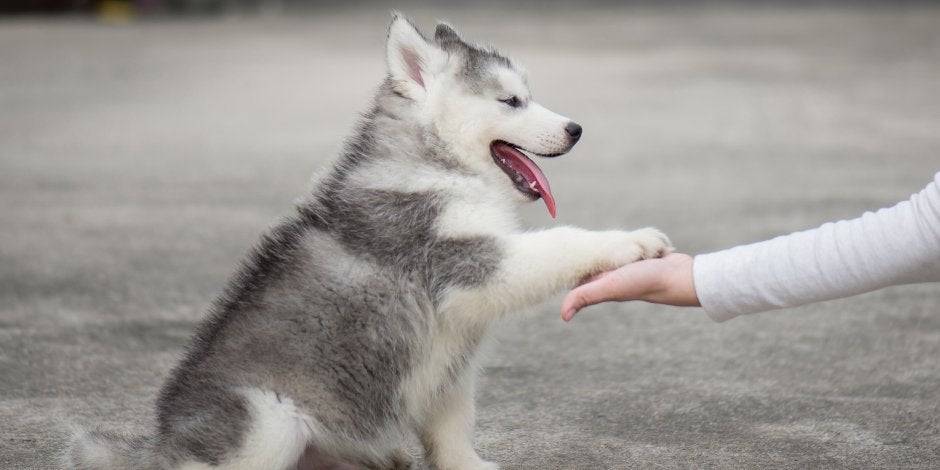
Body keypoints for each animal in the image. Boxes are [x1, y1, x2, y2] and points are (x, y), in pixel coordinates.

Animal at [68, 12, 668, 468]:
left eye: (527, 96)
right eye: (511, 101)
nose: (576, 129)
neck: (439, 166)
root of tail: (160, 444)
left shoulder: (450, 356)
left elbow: (452, 424)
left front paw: (466, 464)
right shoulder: (462, 262)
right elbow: (560, 243)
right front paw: (632, 242)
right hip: (267, 419)